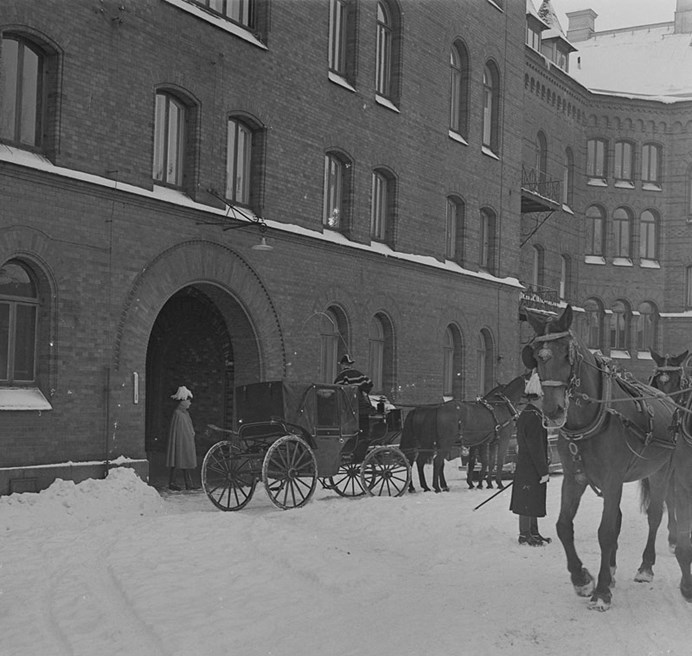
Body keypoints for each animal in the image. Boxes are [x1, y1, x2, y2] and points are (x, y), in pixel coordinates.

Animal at [524, 306, 680, 608]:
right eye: (537, 355)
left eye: (567, 354)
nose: (552, 410)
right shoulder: (575, 478)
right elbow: (563, 526)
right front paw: (582, 579)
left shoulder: (612, 479)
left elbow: (606, 531)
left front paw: (602, 591)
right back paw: (612, 568)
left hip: (660, 472)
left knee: (655, 515)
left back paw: (646, 567)